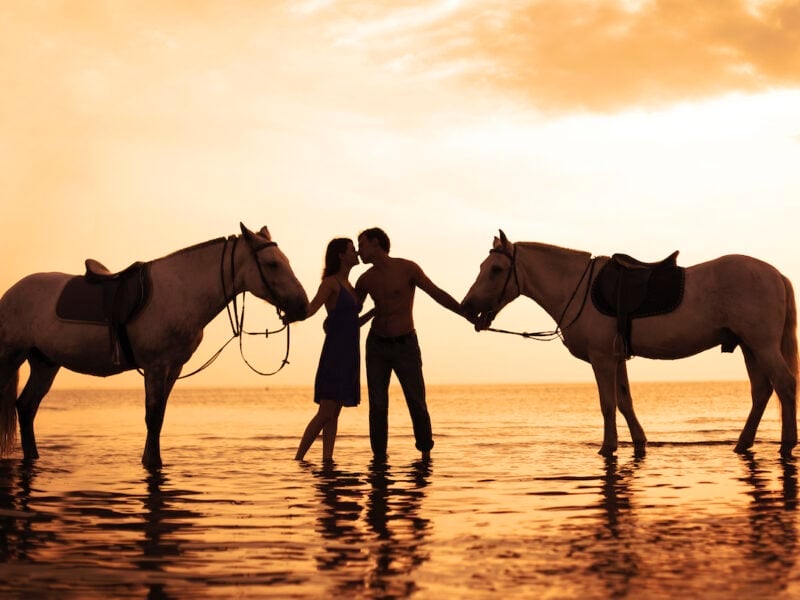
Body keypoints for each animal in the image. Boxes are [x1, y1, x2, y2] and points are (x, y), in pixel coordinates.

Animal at [0, 223, 310, 472]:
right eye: (272, 264)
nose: (303, 306)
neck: (182, 292)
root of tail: (13, 291)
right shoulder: (155, 366)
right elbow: (152, 415)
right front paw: (152, 462)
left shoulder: (173, 367)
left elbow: (159, 415)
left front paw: (153, 460)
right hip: (11, 357)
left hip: (45, 363)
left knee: (26, 406)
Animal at [460, 232, 796, 458]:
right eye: (482, 266)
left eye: (496, 270)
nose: (467, 306)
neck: (576, 288)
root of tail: (777, 274)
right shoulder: (616, 358)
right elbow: (625, 401)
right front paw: (639, 442)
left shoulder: (602, 359)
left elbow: (607, 404)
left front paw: (607, 447)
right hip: (750, 347)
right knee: (762, 391)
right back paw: (743, 443)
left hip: (763, 345)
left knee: (785, 384)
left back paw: (787, 443)